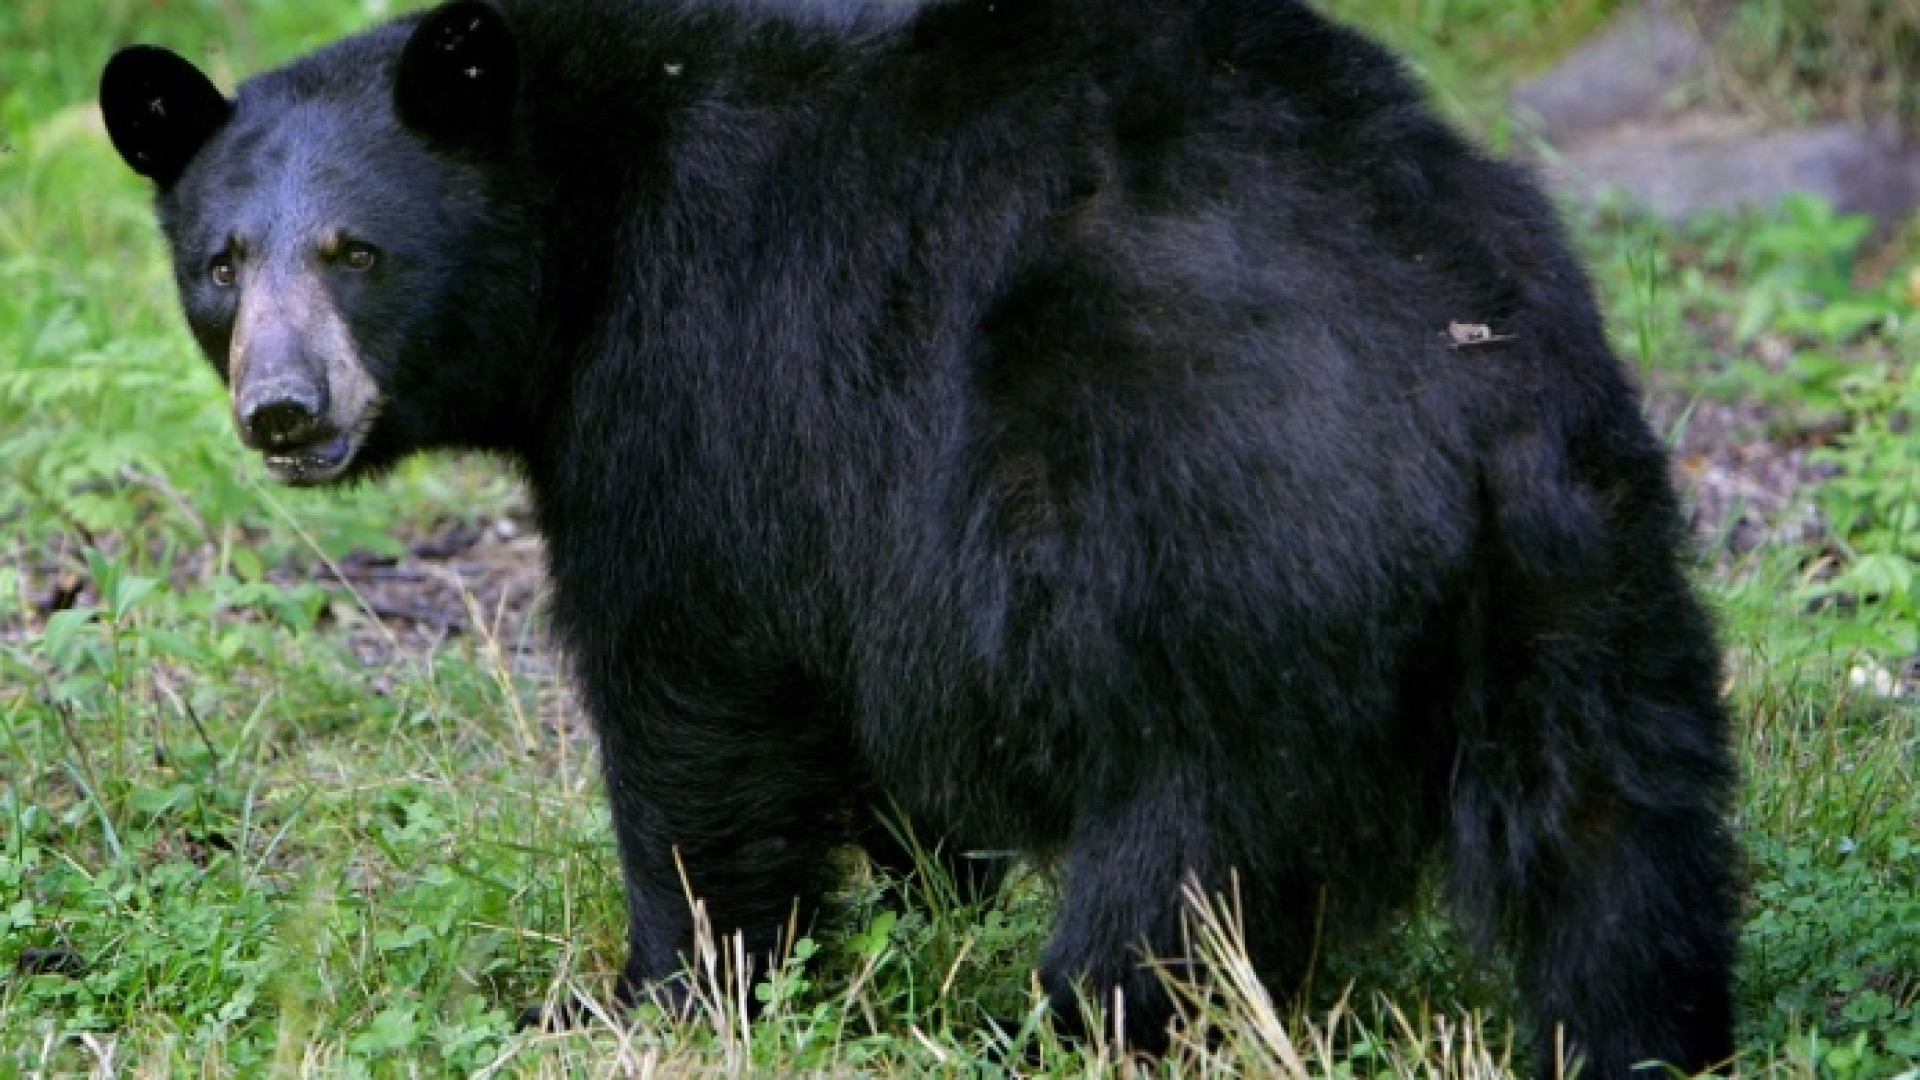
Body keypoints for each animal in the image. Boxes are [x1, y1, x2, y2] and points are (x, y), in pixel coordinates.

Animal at [101, 2, 1743, 1068]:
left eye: (357, 252)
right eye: (220, 263)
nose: (285, 410)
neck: (583, 204)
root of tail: (1451, 377)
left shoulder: (697, 378)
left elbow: (690, 691)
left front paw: (657, 991)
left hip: (1218, 560)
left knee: (1184, 865)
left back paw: (1075, 1024)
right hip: (1587, 566)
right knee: (1618, 838)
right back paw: (1641, 1037)